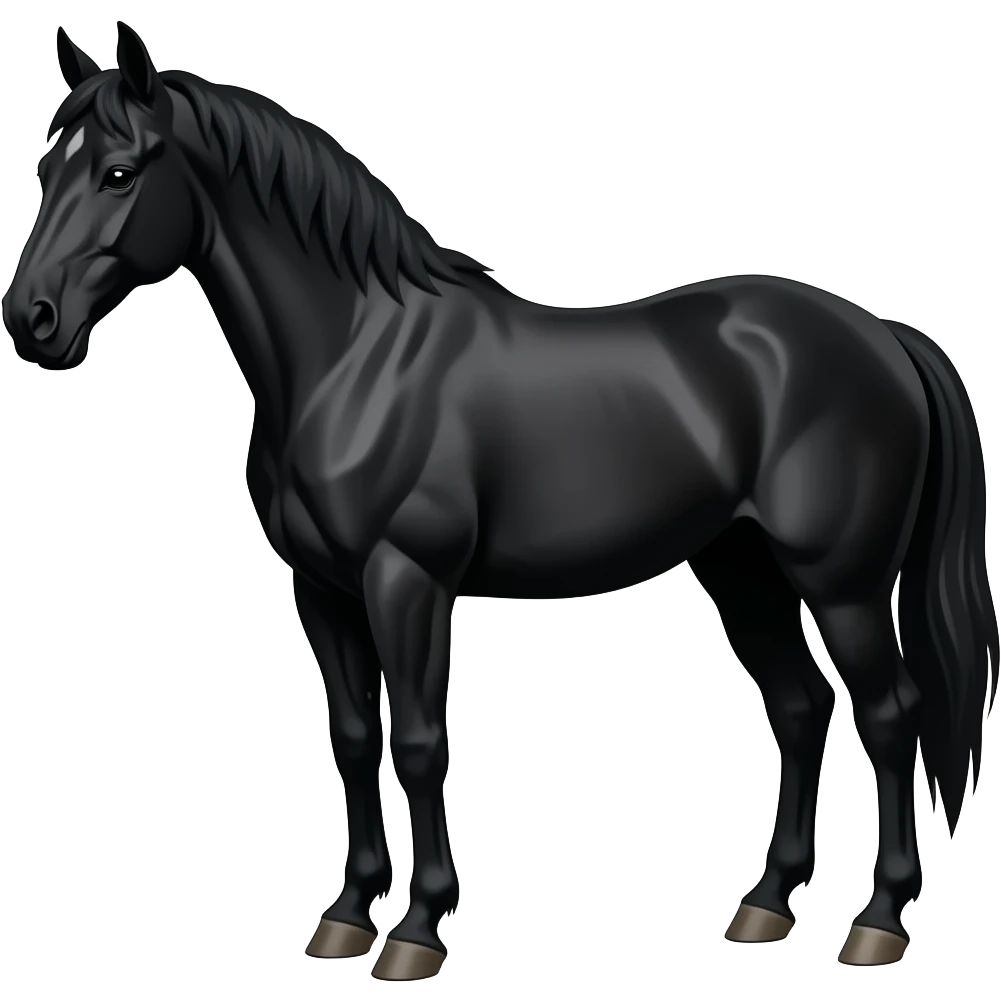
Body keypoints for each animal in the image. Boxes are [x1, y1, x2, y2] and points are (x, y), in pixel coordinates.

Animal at [2, 22, 997, 980]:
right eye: (46, 169)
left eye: (120, 171)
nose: (31, 321)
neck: (355, 356)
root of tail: (882, 334)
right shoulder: (320, 590)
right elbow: (354, 737)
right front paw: (345, 916)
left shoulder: (407, 580)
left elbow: (417, 741)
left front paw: (415, 930)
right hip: (742, 570)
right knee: (799, 709)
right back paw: (765, 903)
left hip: (842, 584)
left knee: (888, 715)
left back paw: (876, 921)